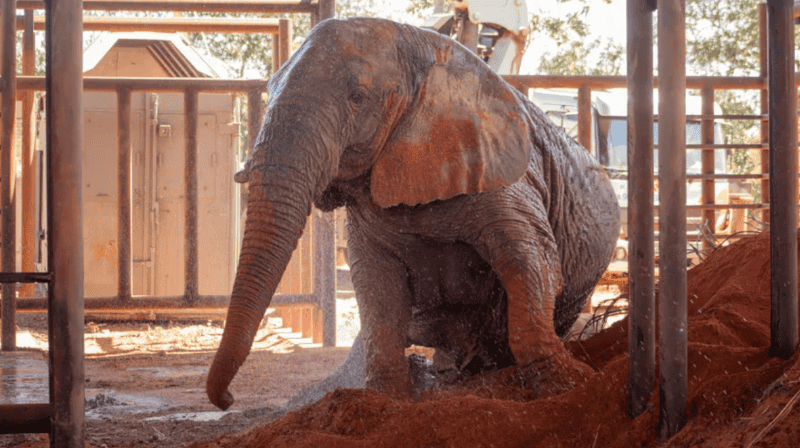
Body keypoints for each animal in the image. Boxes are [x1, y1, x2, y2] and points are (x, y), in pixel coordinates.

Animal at [206, 16, 620, 411]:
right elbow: (376, 283)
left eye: (358, 97)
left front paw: (571, 385)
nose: (226, 400)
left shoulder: (502, 168)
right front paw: (385, 401)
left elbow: (528, 259)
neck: (422, 48)